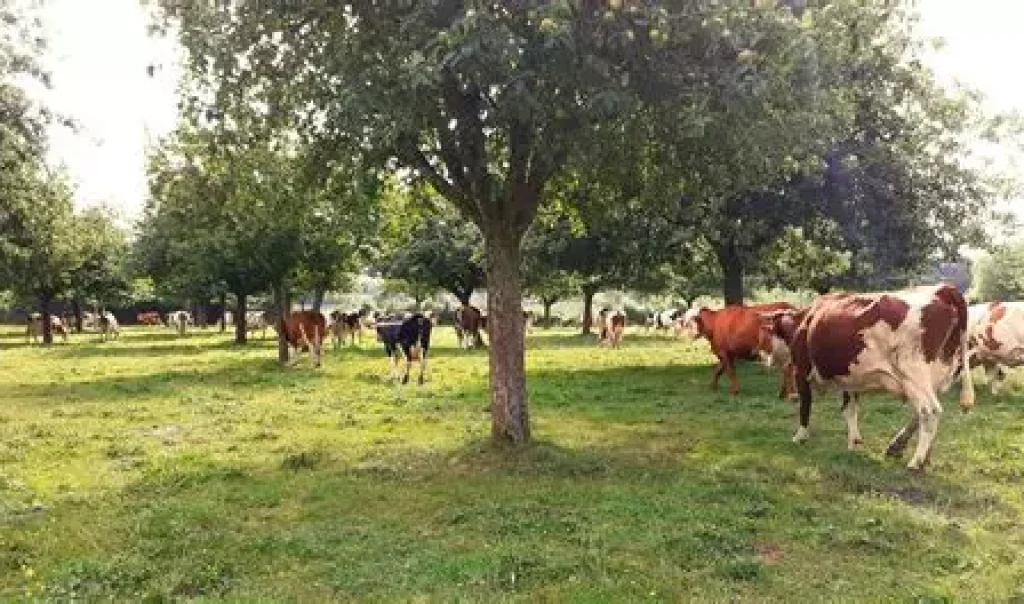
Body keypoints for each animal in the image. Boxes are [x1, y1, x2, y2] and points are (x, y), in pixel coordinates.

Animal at [766, 283, 974, 472]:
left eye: (770, 331)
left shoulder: (801, 371)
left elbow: (805, 406)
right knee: (924, 414)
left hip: (914, 374)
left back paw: (916, 461)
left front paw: (800, 437)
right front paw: (854, 442)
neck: (805, 320)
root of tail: (943, 289)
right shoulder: (850, 379)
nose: (767, 360)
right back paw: (915, 454)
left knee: (929, 412)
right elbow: (849, 409)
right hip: (936, 376)